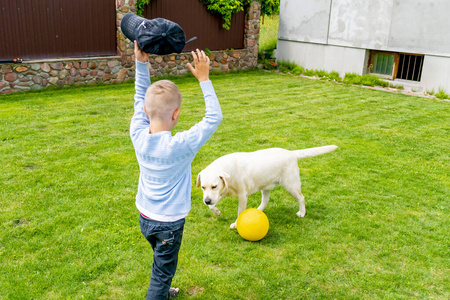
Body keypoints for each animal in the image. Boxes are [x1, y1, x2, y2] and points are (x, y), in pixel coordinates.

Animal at [197, 145, 338, 227]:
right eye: (203, 187)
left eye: (214, 186)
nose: (206, 200)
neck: (230, 172)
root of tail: (291, 153)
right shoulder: (219, 194)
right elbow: (212, 206)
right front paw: (217, 212)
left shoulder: (242, 196)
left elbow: (240, 212)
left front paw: (236, 224)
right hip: (265, 185)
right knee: (265, 200)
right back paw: (258, 211)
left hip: (291, 185)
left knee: (301, 198)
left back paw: (302, 213)